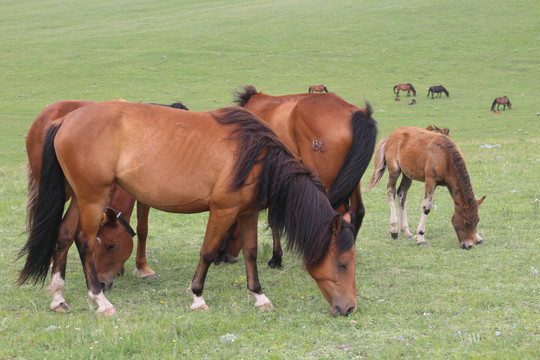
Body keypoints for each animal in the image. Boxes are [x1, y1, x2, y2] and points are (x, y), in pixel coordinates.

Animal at [19, 100, 358, 316]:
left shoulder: (247, 212)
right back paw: (100, 300)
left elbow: (250, 252)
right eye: (342, 263)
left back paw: (59, 298)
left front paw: (259, 296)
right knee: (84, 242)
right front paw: (197, 297)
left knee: (63, 236)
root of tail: (65, 119)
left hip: (80, 196)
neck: (257, 155)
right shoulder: (223, 210)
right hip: (92, 197)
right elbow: (207, 252)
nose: (350, 308)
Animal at [219, 86, 376, 268]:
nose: (221, 256)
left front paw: (276, 257)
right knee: (358, 211)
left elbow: (274, 219)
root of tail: (358, 113)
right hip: (351, 179)